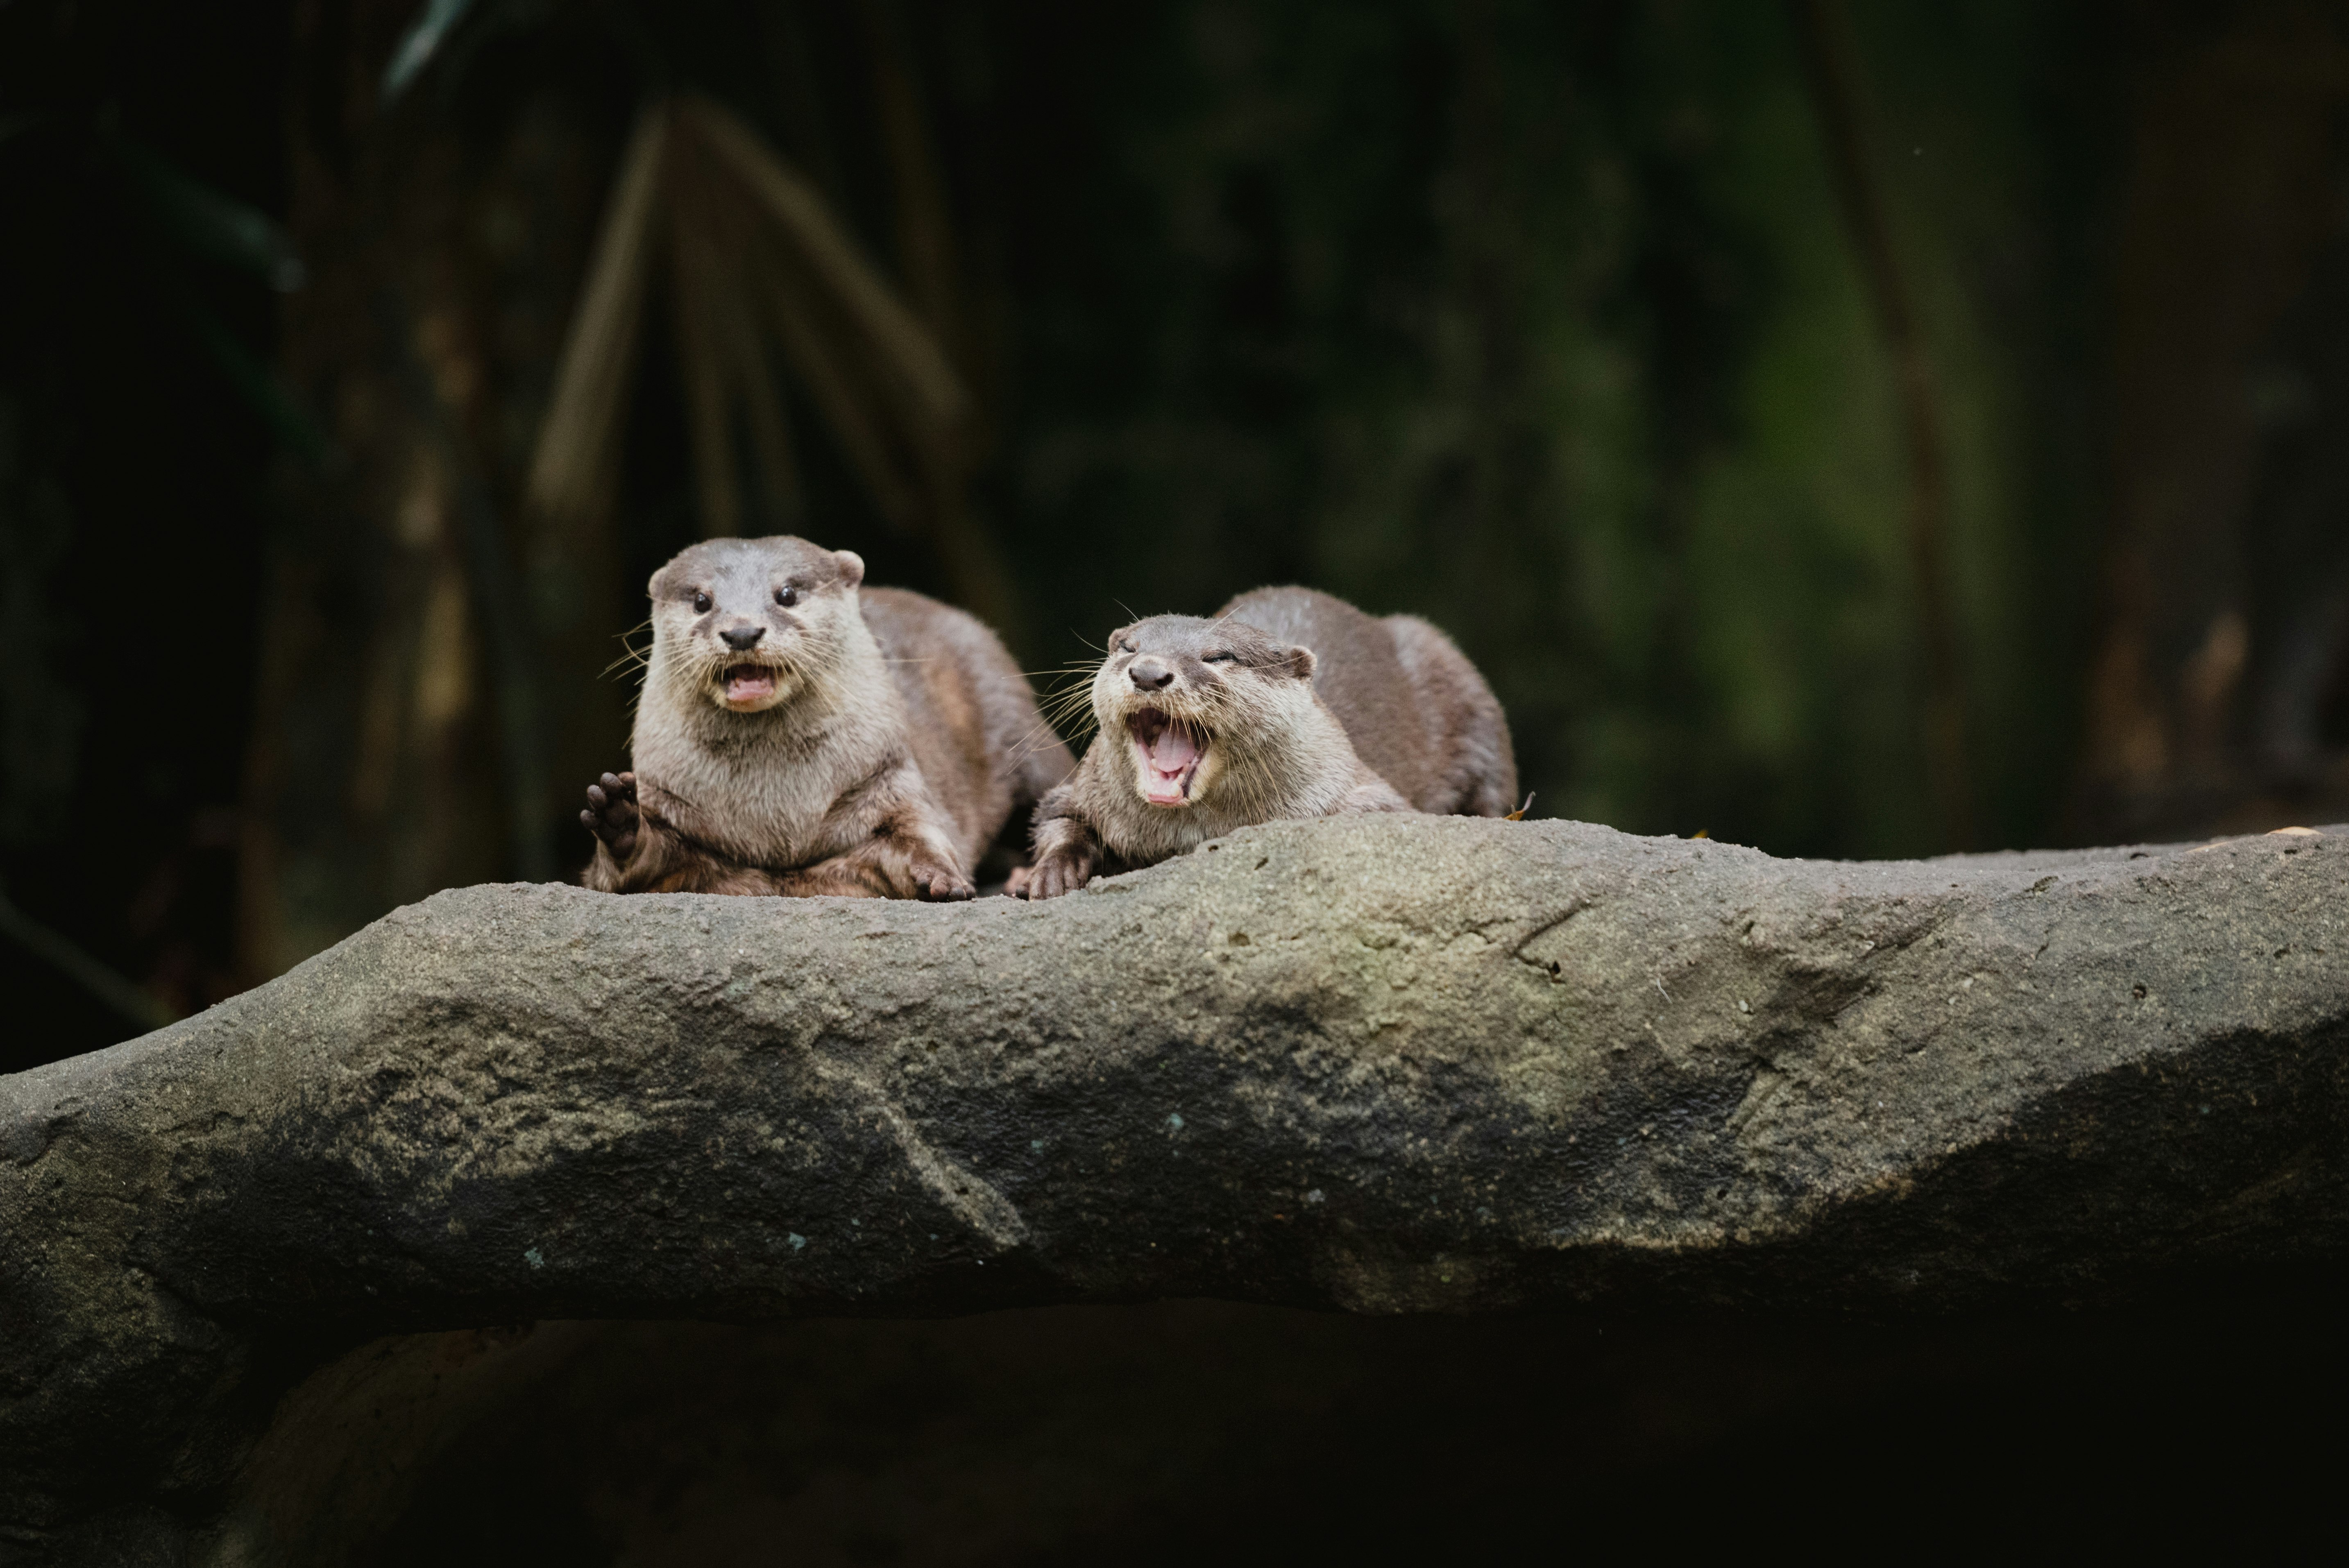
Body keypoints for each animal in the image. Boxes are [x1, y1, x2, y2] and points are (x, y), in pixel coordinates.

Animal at [580, 540, 1076, 901]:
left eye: (786, 594)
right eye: (702, 600)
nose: (742, 631)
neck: (776, 818)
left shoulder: (890, 779)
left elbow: (921, 833)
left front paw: (940, 876)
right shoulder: (669, 802)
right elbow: (636, 866)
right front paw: (619, 818)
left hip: (1020, 731)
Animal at [1029, 587, 1522, 901]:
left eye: (1218, 656)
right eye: (1128, 648)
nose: (1148, 671)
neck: (1188, 838)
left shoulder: (1359, 786)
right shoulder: (1083, 789)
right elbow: (1058, 816)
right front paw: (1053, 873)